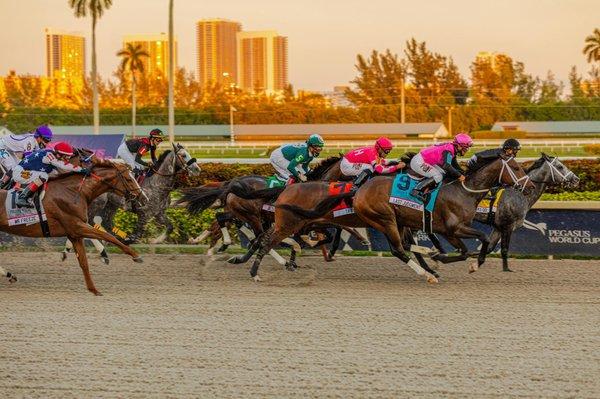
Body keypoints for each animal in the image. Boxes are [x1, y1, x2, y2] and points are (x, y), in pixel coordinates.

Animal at [0, 158, 146, 296]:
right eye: (129, 179)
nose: (144, 198)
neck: (74, 192)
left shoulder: (74, 234)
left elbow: (84, 262)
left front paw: (94, 290)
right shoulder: (76, 226)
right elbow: (107, 236)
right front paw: (135, 255)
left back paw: (10, 275)